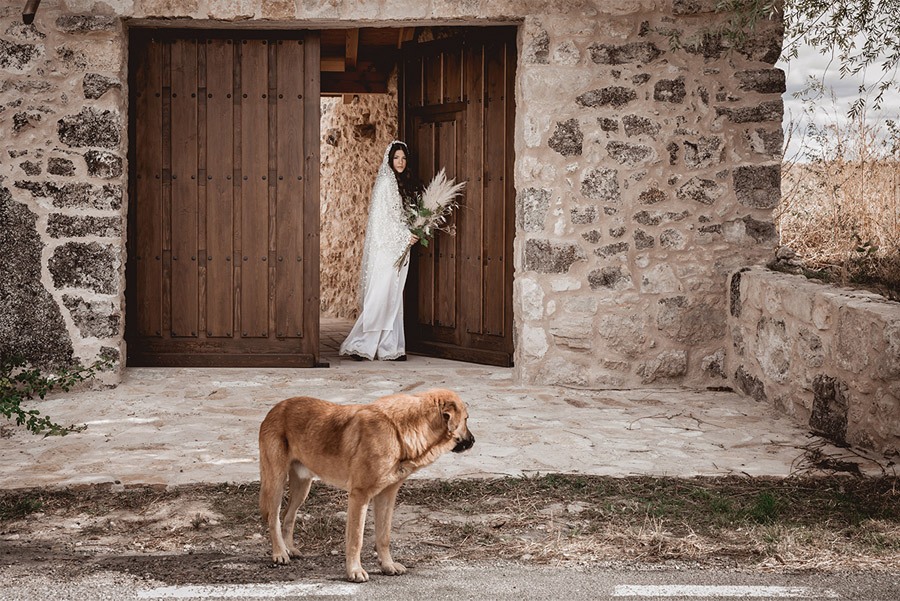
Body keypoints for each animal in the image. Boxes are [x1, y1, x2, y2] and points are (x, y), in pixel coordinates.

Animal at [256, 390, 474, 580]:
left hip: (303, 486)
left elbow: (384, 536)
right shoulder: (359, 496)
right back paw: (279, 552)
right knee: (274, 517)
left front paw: (387, 565)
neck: (400, 430)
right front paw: (354, 571)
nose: (473, 441)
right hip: (276, 481)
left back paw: (289, 548)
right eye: (466, 419)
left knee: (288, 515)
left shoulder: (386, 496)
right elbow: (356, 539)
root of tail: (276, 408)